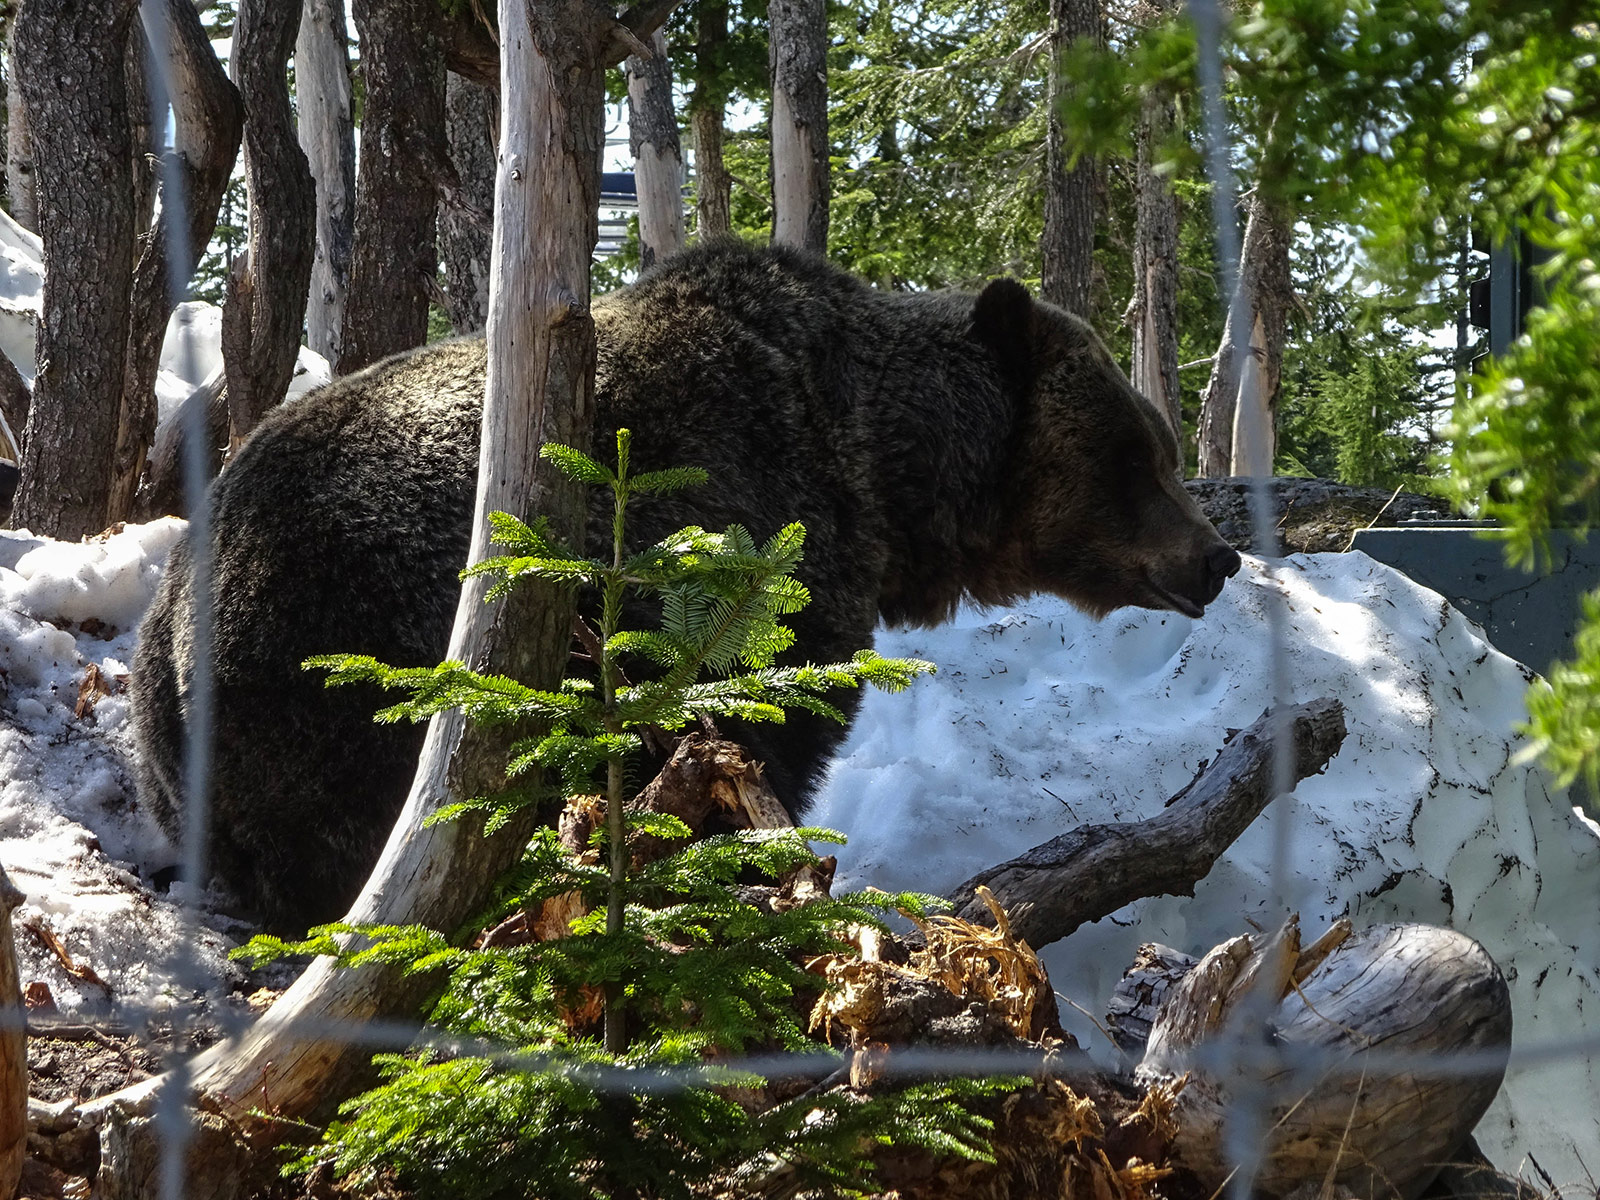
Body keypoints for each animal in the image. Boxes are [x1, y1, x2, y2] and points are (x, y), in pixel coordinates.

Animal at [132, 239, 1241, 934]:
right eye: (1136, 453)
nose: (1216, 557)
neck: (882, 479)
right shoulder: (754, 557)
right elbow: (762, 735)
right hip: (361, 660)